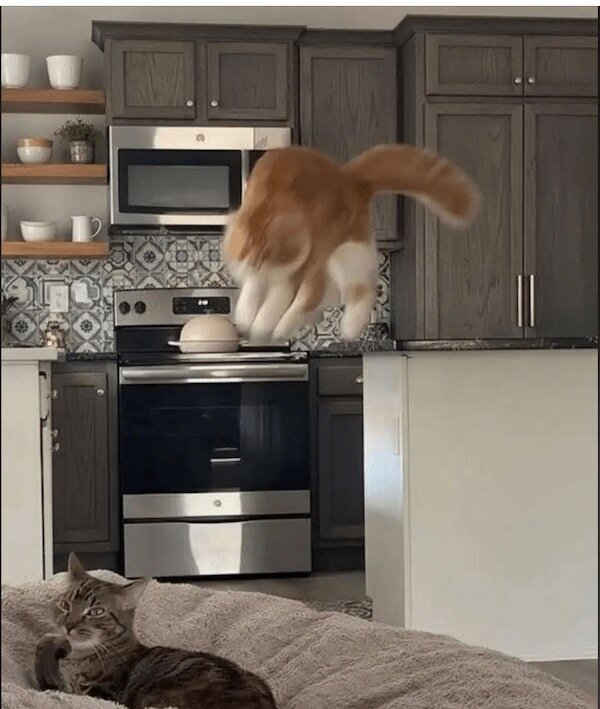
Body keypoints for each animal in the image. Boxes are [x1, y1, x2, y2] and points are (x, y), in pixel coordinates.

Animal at [223, 144, 480, 342]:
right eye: (246, 251)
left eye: (267, 252)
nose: (254, 263)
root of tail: (347, 176)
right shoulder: (259, 277)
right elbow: (250, 295)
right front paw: (245, 318)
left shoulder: (290, 277)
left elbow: (271, 308)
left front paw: (261, 329)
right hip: (345, 255)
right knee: (346, 291)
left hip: (331, 250)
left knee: (324, 294)